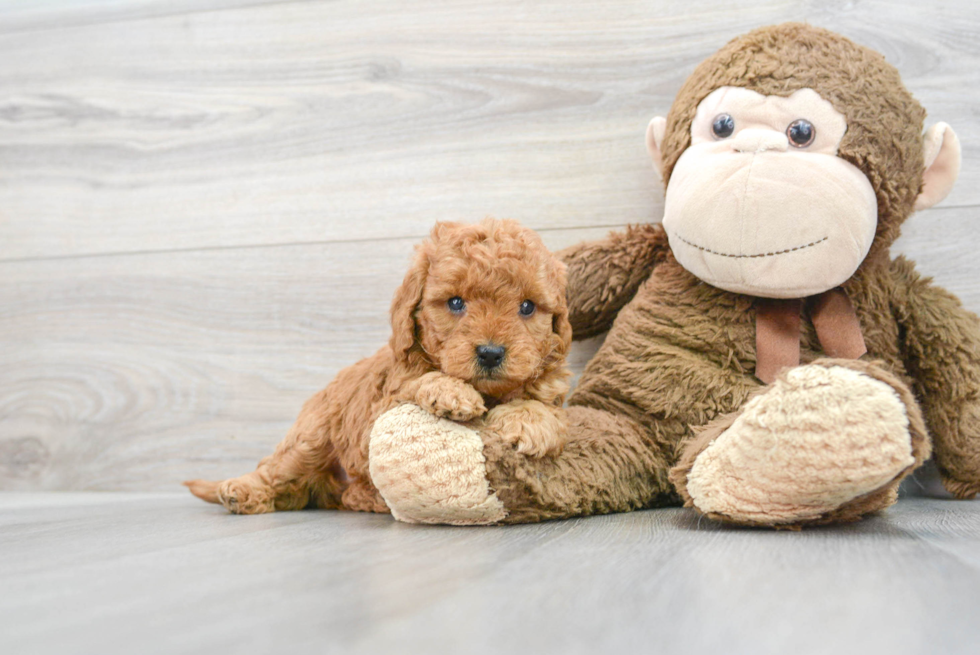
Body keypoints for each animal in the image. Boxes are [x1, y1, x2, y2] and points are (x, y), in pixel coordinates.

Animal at [185, 218, 572, 516]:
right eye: (455, 303)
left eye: (527, 307)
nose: (491, 353)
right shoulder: (380, 409)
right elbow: (416, 383)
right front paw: (449, 391)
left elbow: (542, 403)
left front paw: (529, 420)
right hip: (309, 439)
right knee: (274, 471)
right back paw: (242, 491)